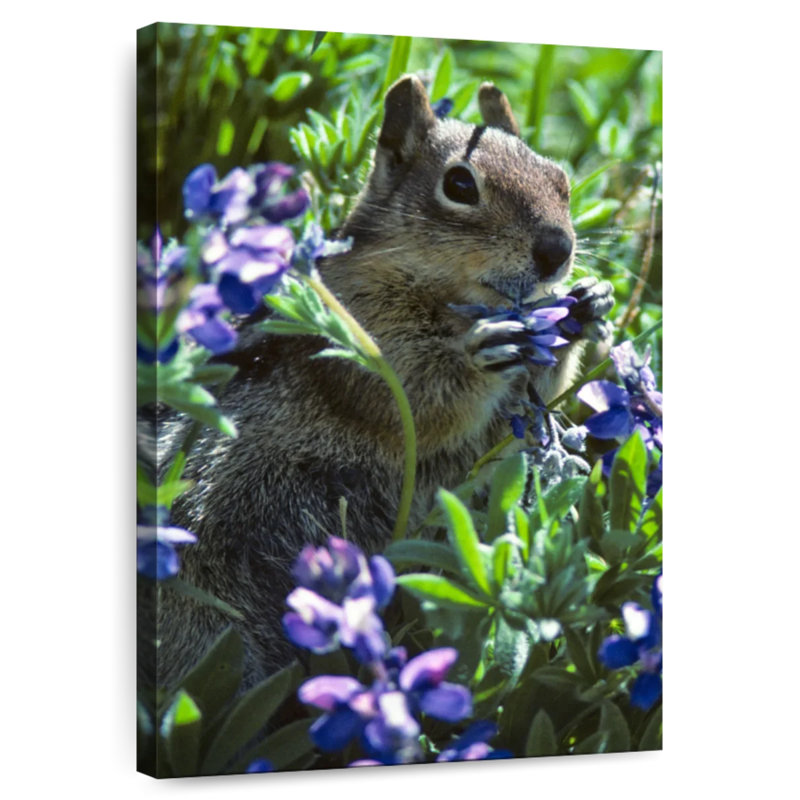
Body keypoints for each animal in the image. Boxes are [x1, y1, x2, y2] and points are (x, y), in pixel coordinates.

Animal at [151, 75, 613, 690]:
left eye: (560, 179)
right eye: (460, 184)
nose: (557, 252)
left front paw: (588, 303)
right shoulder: (358, 335)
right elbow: (413, 397)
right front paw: (480, 352)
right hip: (201, 618)